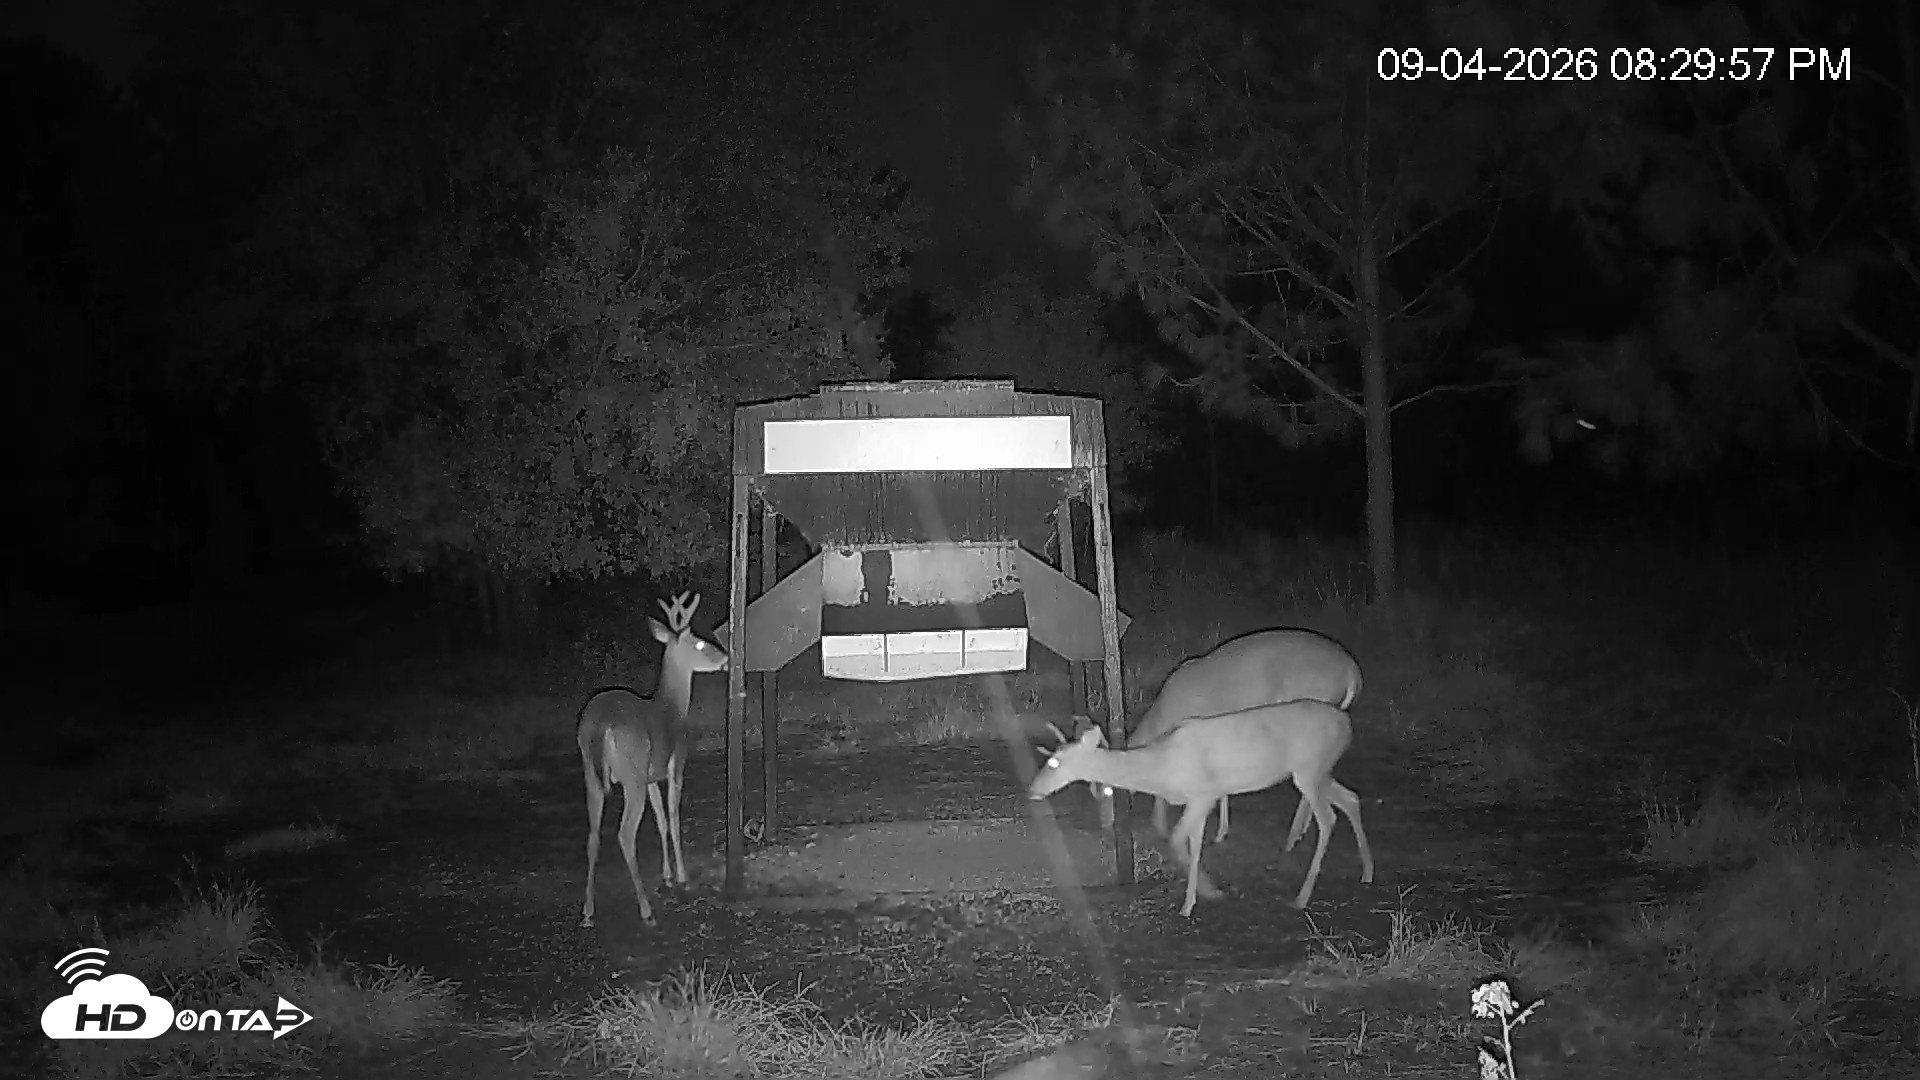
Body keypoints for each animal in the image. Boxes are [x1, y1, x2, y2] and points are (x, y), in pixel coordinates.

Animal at [576, 591, 728, 928]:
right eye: (699, 643)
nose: (725, 657)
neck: (672, 707)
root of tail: (601, 726)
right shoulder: (674, 763)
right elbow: (673, 816)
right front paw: (681, 876)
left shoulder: (650, 776)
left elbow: (660, 820)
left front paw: (667, 874)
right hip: (630, 773)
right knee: (624, 835)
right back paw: (646, 910)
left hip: (592, 774)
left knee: (592, 836)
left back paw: (588, 911)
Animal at [1033, 699, 1373, 916]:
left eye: (1054, 762)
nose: (1033, 790)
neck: (1161, 768)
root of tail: (1347, 723)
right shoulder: (1197, 798)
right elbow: (1195, 844)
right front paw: (1191, 902)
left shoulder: (1204, 794)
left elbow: (1176, 839)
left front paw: (1209, 892)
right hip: (1321, 771)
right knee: (1351, 798)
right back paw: (1367, 871)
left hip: (1309, 769)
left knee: (1328, 818)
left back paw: (1302, 897)